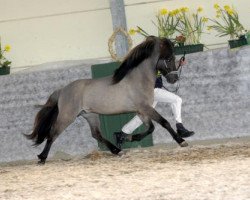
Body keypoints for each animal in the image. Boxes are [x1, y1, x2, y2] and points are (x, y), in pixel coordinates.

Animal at [25, 36, 188, 164]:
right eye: (169, 58)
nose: (174, 79)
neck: (137, 79)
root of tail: (63, 90)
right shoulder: (145, 108)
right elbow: (164, 123)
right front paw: (181, 141)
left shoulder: (142, 111)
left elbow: (150, 128)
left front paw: (125, 137)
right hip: (67, 117)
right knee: (53, 134)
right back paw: (42, 158)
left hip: (90, 115)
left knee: (96, 134)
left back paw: (117, 150)